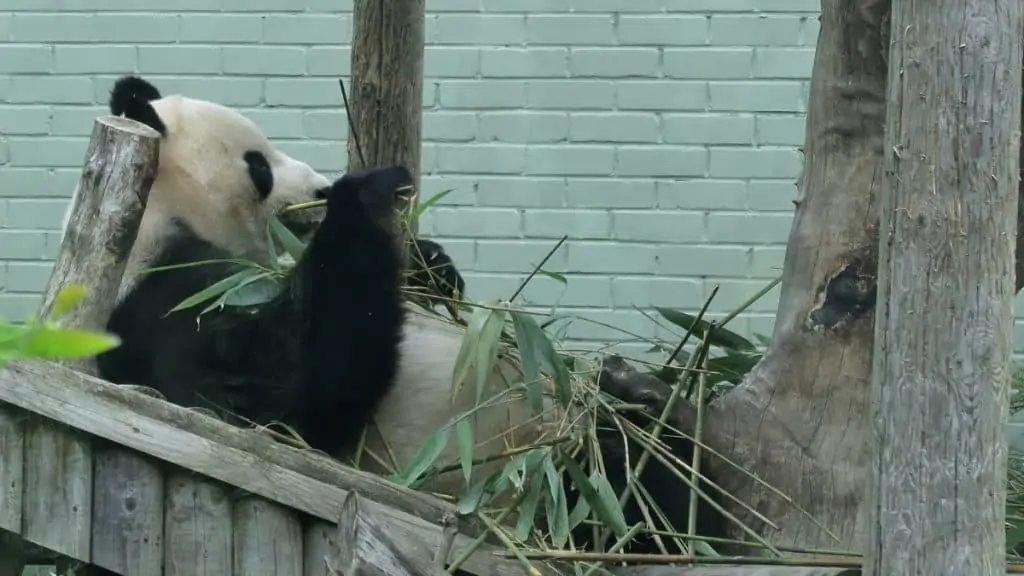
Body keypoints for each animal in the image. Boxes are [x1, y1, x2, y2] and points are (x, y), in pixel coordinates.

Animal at [79, 73, 733, 557]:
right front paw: (367, 192)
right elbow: (283, 391)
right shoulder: (167, 299)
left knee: (638, 463)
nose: (319, 188)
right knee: (613, 485)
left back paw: (643, 400)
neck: (156, 216)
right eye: (258, 164)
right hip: (532, 476)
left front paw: (430, 261)